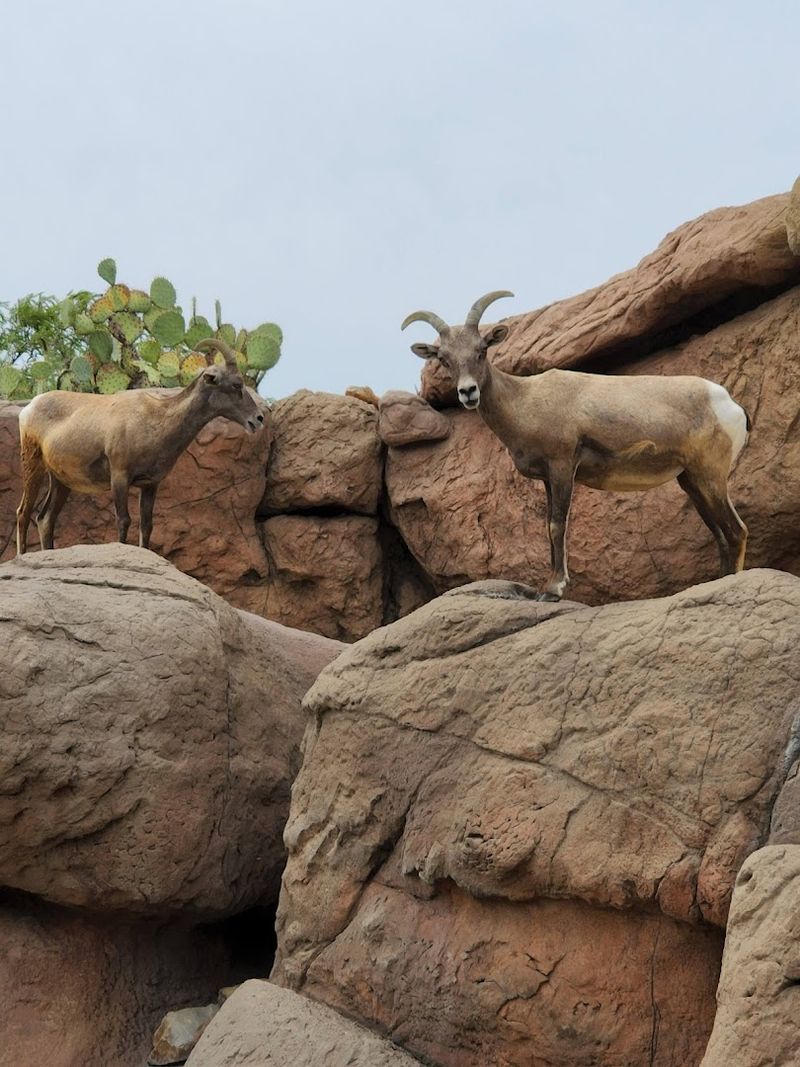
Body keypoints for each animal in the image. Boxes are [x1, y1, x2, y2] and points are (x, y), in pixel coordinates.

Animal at [15, 338, 265, 555]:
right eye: (236, 385)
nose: (258, 418)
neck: (154, 421)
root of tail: (28, 409)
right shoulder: (120, 477)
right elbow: (124, 520)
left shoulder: (150, 485)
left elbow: (147, 525)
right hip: (33, 464)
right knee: (23, 513)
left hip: (61, 481)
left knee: (45, 519)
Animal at [402, 290, 749, 601]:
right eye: (444, 359)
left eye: (481, 350)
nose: (468, 392)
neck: (524, 402)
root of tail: (729, 404)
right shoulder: (547, 478)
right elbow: (548, 526)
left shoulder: (562, 467)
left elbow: (558, 525)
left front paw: (553, 591)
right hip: (691, 481)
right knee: (721, 534)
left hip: (710, 476)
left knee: (736, 530)